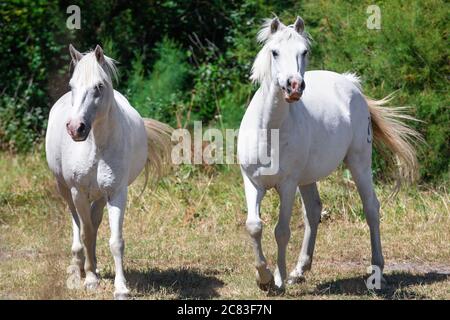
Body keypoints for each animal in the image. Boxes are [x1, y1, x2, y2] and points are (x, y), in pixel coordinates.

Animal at [46, 43, 172, 298]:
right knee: (78, 224)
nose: (76, 128)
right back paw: (78, 267)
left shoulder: (116, 193)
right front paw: (90, 280)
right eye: (72, 86)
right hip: (65, 189)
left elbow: (115, 241)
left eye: (99, 86)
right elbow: (85, 232)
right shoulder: (78, 192)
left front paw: (120, 288)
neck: (96, 146)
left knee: (94, 222)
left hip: (100, 197)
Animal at [239, 17, 422, 292]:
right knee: (313, 212)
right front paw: (265, 278)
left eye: (304, 52)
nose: (294, 86)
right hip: (307, 179)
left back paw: (377, 273)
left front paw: (278, 280)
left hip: (359, 162)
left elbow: (281, 231)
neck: (268, 131)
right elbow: (254, 226)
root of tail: (350, 84)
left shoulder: (287, 185)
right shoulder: (252, 182)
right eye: (274, 52)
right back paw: (299, 271)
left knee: (371, 208)